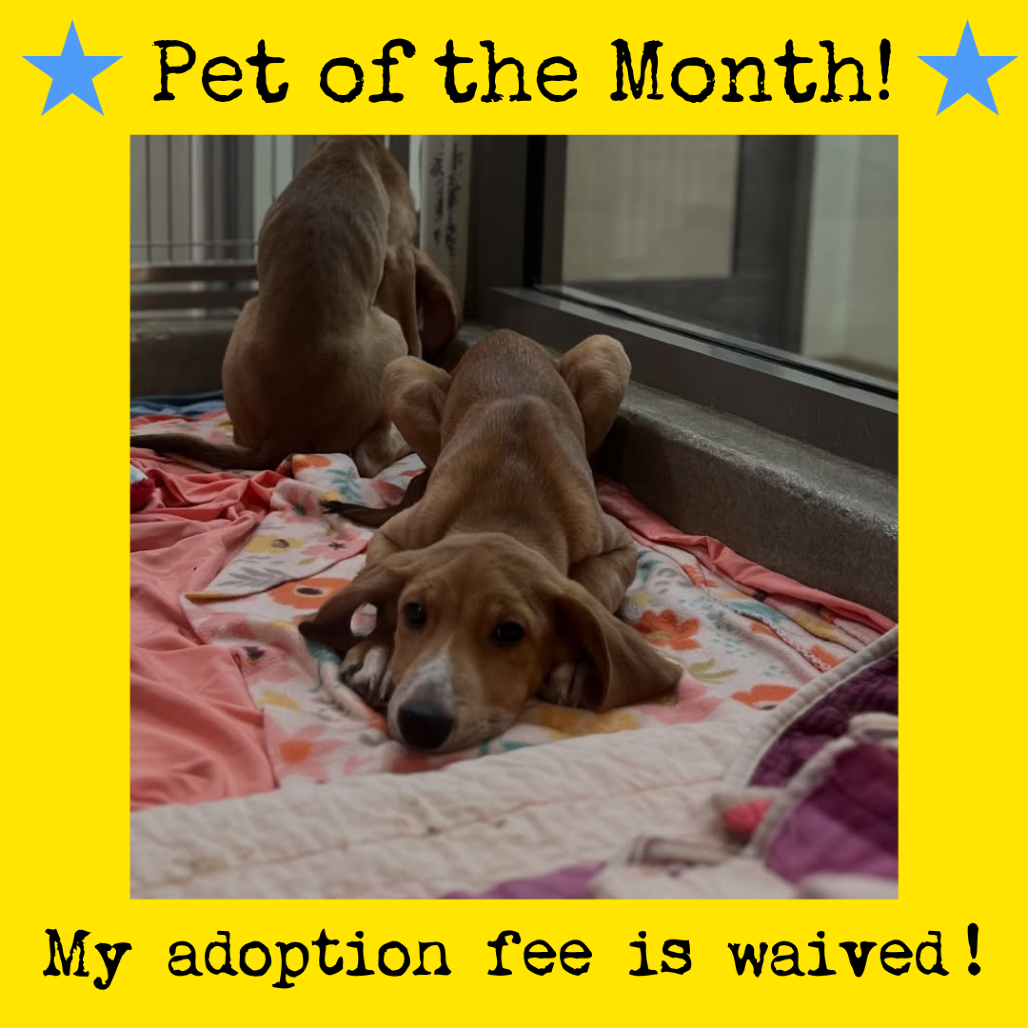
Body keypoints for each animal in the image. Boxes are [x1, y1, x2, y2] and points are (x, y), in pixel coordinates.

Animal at [130, 136, 460, 476]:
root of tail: (281, 437)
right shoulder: (398, 254)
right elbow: (413, 332)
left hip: (249, 314)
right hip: (388, 331)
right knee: (370, 455)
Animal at [299, 330, 682, 752]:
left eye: (509, 632)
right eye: (416, 613)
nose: (421, 722)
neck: (506, 512)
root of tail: (503, 335)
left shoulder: (620, 547)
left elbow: (591, 590)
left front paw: (578, 662)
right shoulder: (394, 537)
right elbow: (387, 595)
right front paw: (380, 651)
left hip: (606, 351)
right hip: (401, 375)